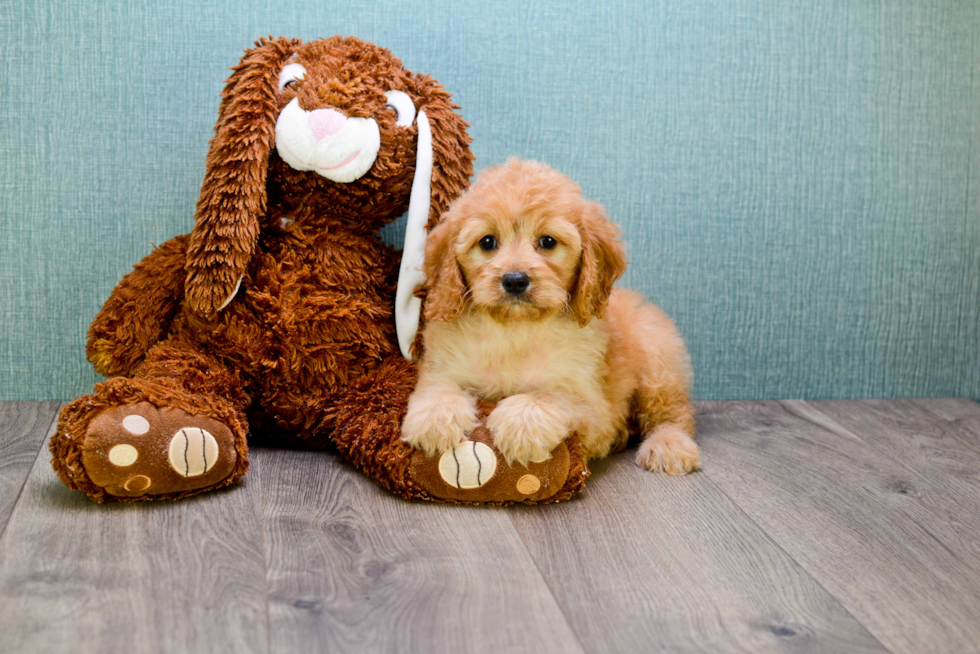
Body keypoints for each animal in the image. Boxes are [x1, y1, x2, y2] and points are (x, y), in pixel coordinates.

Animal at [402, 159, 700, 476]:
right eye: (487, 242)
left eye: (547, 241)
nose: (515, 280)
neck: (514, 329)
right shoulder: (442, 366)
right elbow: (438, 388)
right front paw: (435, 417)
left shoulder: (594, 408)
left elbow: (554, 396)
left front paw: (520, 423)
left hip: (658, 364)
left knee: (675, 413)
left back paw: (669, 445)